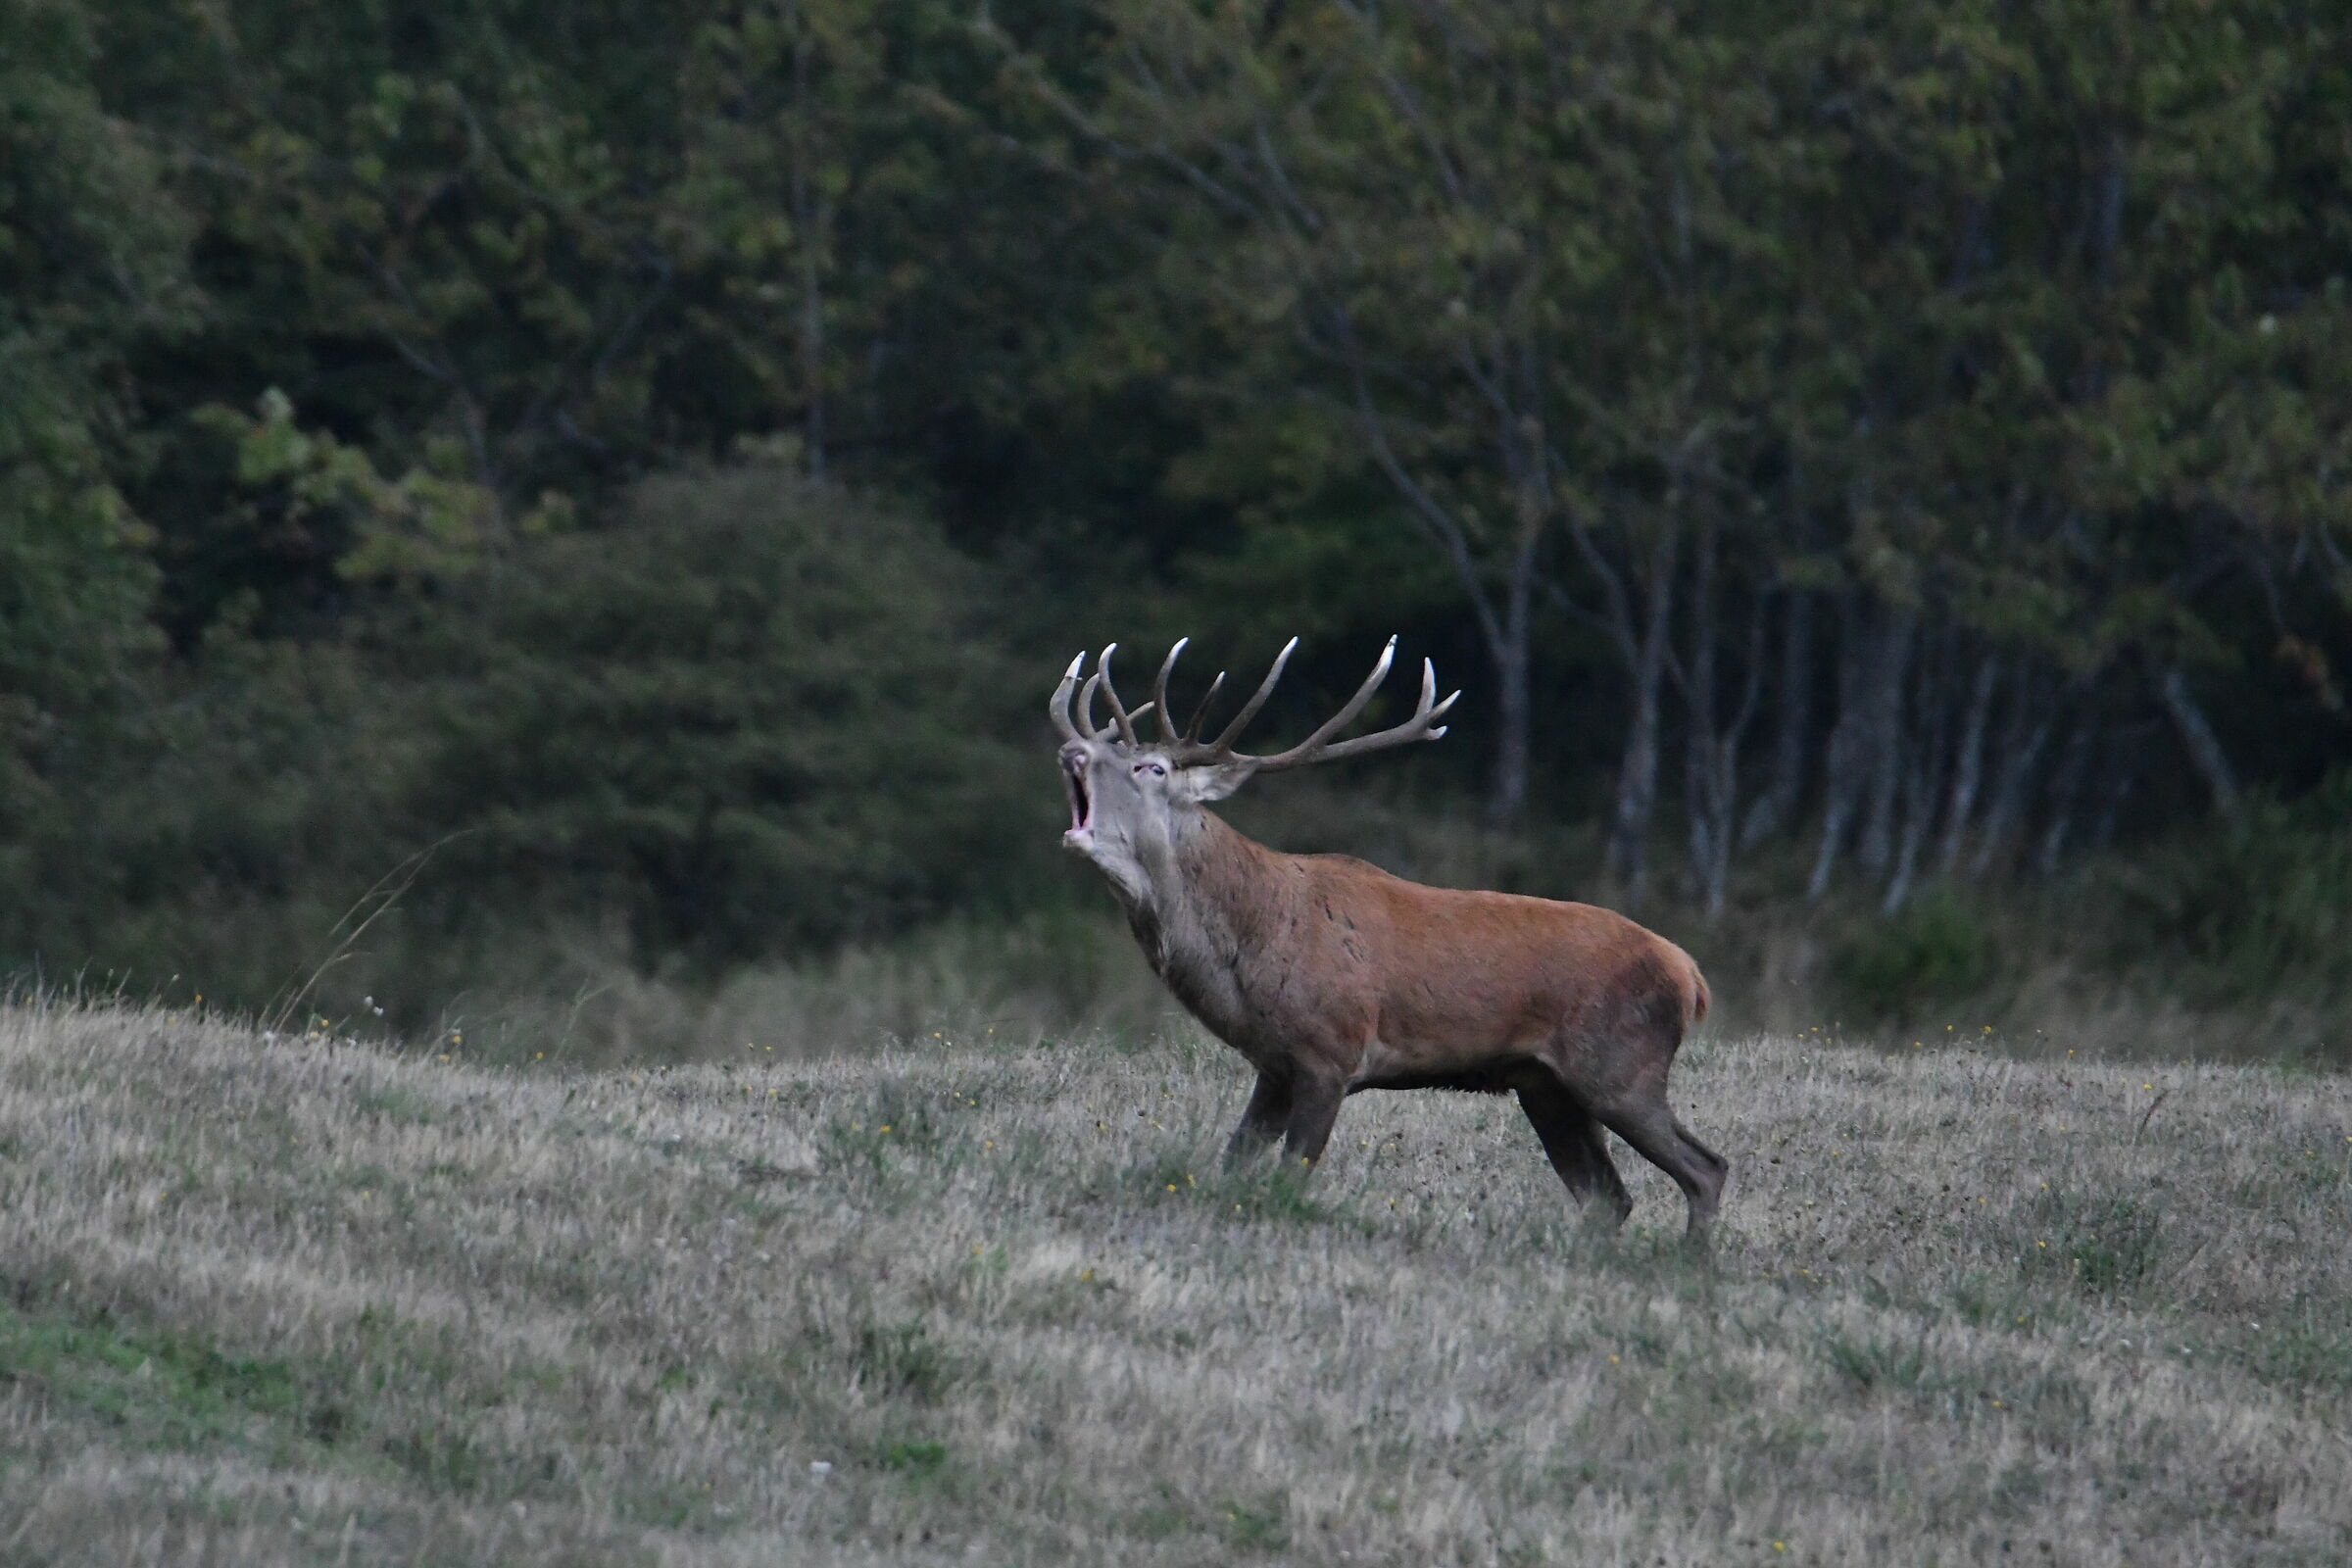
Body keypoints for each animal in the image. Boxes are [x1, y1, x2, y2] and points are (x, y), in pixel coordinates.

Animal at [1051, 637, 1727, 1236]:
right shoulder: (1274, 1065)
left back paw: (1691, 1264)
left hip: (1620, 1066)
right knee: (1610, 1197)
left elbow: (1288, 1178)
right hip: (1547, 1087)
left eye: (1151, 767)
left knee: (1705, 1168)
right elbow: (1233, 1167)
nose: (1072, 752)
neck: (1251, 951)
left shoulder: (1331, 1051)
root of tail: (1691, 975)